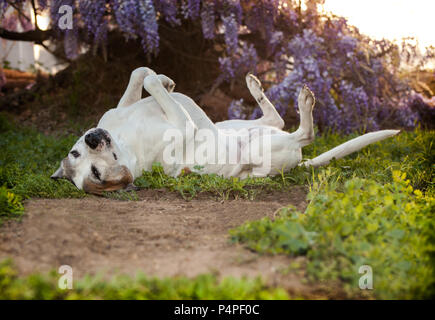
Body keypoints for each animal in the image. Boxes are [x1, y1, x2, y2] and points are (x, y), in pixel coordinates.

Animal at [50, 66, 398, 194]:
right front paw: (162, 83)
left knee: (276, 121)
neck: (126, 145)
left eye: (75, 152)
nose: (93, 137)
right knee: (303, 133)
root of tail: (300, 162)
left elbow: (141, 75)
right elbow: (149, 82)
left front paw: (166, 80)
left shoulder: (119, 110)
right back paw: (304, 102)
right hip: (258, 150)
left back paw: (255, 86)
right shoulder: (182, 123)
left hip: (227, 125)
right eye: (95, 174)